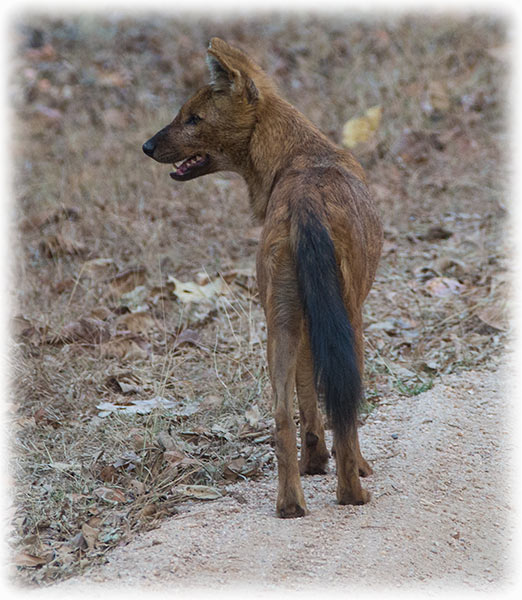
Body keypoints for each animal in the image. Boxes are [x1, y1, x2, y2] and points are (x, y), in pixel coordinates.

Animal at [142, 37, 382, 516]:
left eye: (192, 117)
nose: (146, 145)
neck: (298, 153)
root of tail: (306, 203)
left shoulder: (305, 319)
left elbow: (307, 396)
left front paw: (314, 461)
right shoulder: (348, 313)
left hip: (279, 319)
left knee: (280, 414)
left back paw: (290, 503)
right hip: (348, 314)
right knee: (345, 407)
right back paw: (352, 490)